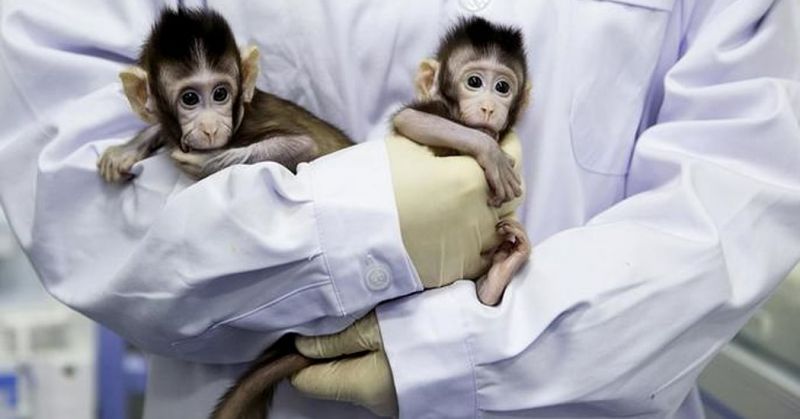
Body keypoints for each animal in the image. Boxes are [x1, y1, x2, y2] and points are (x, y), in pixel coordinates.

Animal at [97, 8, 352, 184]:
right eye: (190, 99)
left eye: (220, 94)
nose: (210, 128)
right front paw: (126, 150)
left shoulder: (253, 120)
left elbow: (305, 145)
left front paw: (210, 161)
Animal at [210, 16, 533, 419]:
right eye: (474, 81)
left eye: (503, 86)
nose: (489, 106)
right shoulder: (436, 111)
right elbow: (413, 119)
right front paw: (486, 149)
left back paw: (496, 278)